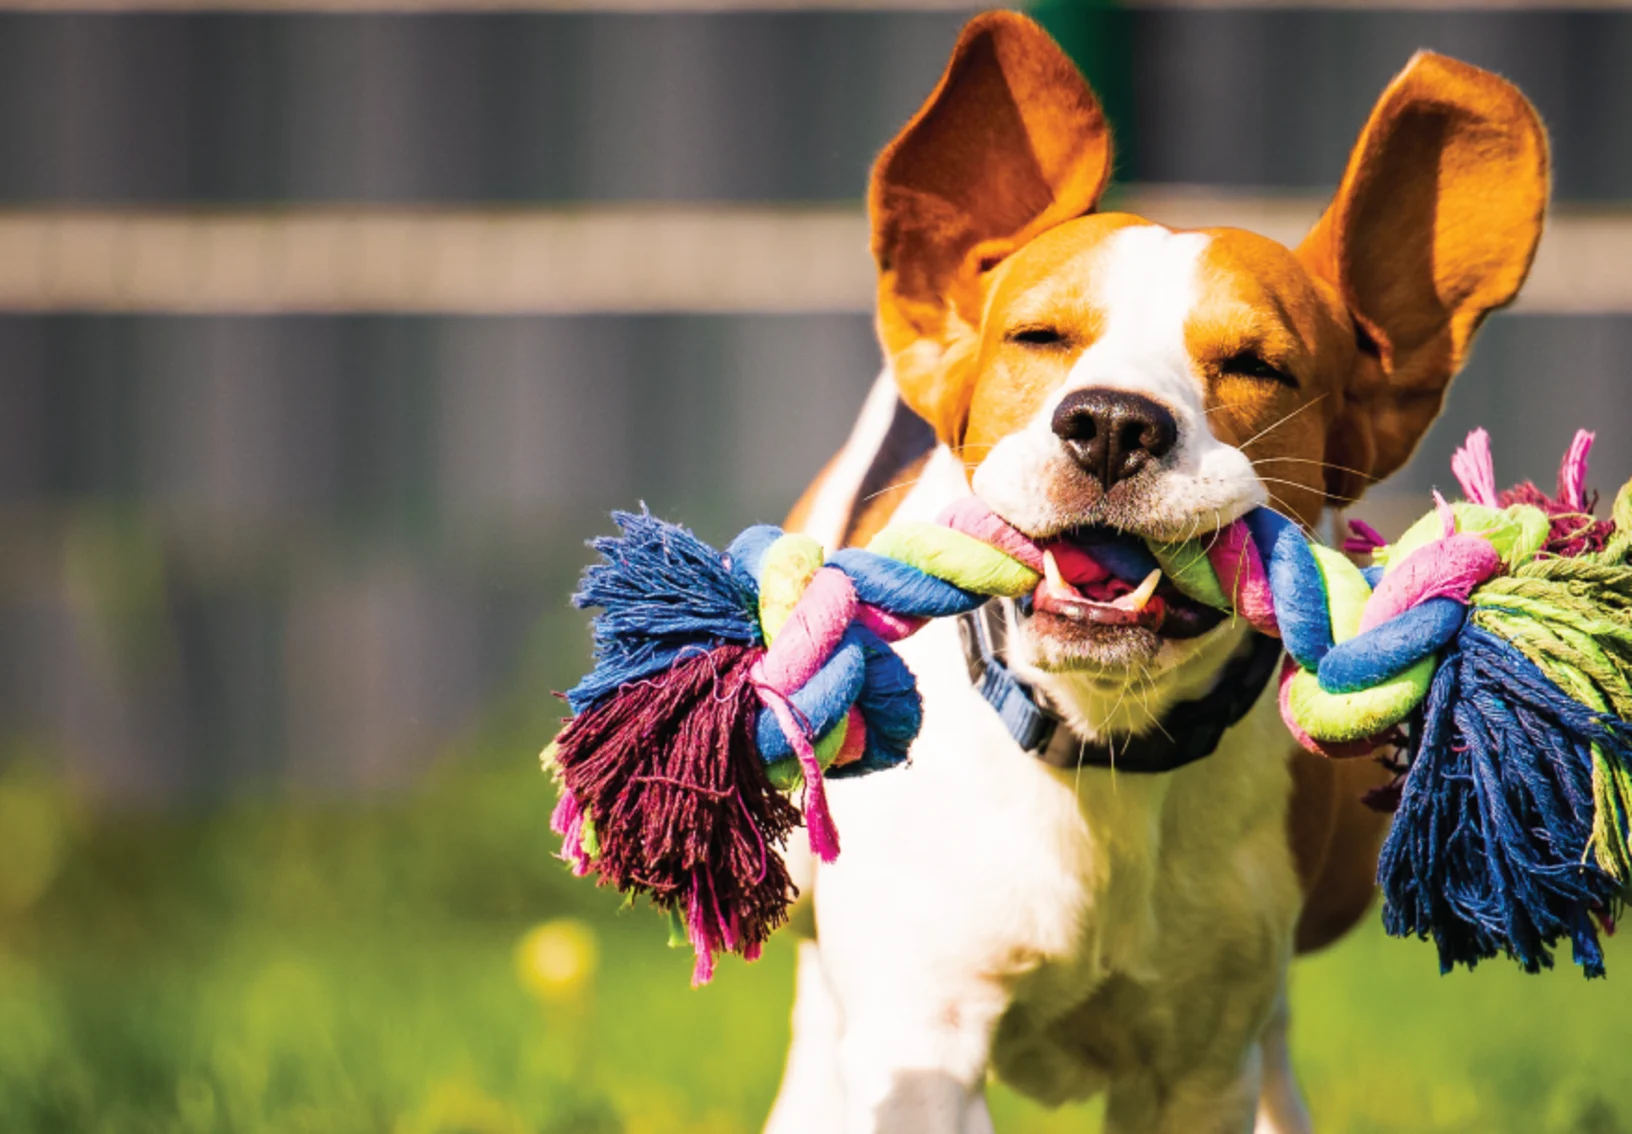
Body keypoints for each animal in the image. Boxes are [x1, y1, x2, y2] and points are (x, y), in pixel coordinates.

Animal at [757, 11, 1547, 1134]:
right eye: (1038, 336)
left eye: (1258, 366)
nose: (1112, 423)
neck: (1102, 748)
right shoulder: (924, 1033)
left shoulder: (1198, 1067)